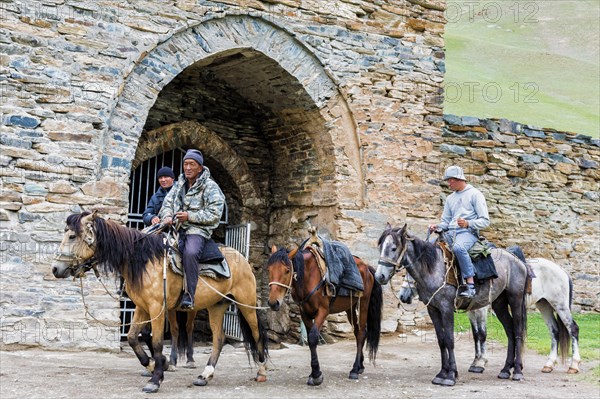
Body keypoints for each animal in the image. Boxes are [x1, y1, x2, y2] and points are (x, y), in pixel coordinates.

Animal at [51, 212, 268, 394]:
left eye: (72, 236)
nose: (55, 269)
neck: (143, 260)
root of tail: (242, 258)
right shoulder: (141, 307)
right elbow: (132, 338)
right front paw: (153, 364)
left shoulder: (157, 307)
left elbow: (156, 343)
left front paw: (155, 379)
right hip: (216, 306)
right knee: (219, 338)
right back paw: (205, 375)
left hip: (245, 303)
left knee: (256, 333)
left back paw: (262, 371)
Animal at [268, 245, 384, 386]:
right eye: (269, 270)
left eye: (287, 270)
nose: (273, 302)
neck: (309, 276)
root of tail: (367, 268)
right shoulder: (305, 313)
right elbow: (310, 340)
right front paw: (313, 374)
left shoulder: (323, 311)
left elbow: (313, 337)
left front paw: (316, 375)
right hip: (350, 308)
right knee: (357, 332)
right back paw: (360, 366)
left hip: (364, 303)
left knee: (361, 333)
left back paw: (354, 369)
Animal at [378, 223, 528, 386]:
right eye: (380, 247)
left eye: (393, 248)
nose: (380, 276)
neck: (434, 269)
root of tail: (515, 259)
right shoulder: (433, 309)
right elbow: (441, 340)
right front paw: (442, 373)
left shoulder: (447, 308)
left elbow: (450, 340)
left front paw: (451, 375)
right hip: (499, 303)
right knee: (510, 331)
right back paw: (506, 369)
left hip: (515, 300)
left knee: (517, 332)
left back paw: (517, 372)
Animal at [398, 250, 580, 376]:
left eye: (411, 275)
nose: (403, 296)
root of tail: (562, 271)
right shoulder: (472, 311)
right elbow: (475, 335)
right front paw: (476, 361)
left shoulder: (481, 309)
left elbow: (482, 334)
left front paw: (480, 363)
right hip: (545, 305)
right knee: (555, 331)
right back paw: (549, 364)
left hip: (560, 305)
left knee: (573, 329)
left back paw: (573, 365)